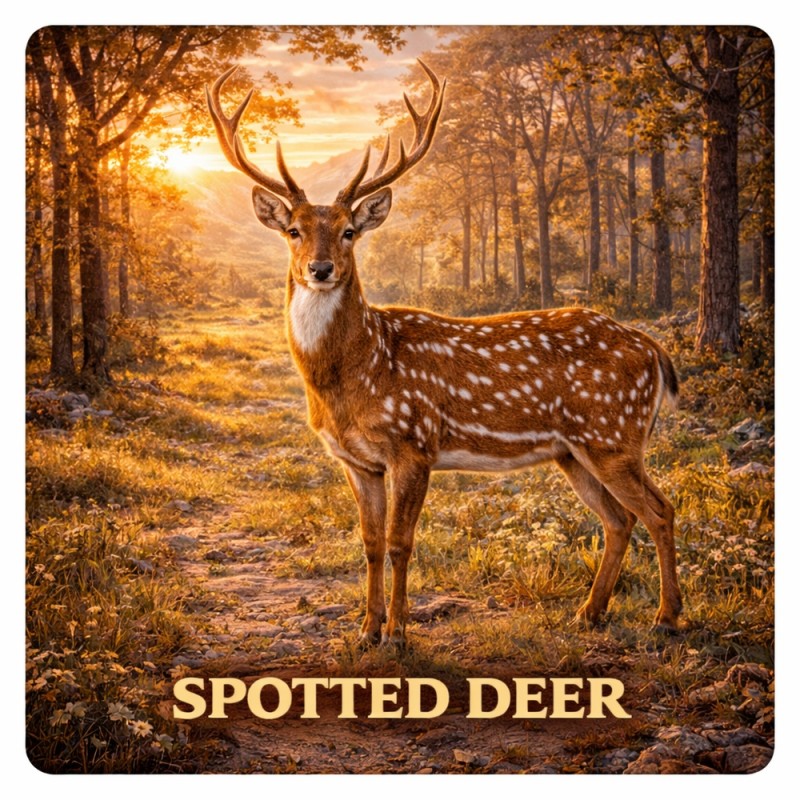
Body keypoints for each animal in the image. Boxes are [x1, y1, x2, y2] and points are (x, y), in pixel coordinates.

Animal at [207, 61, 682, 647]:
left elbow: (399, 544)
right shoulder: (356, 461)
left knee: (660, 510)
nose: (320, 269)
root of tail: (655, 350)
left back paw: (666, 617)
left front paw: (398, 632)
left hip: (615, 433)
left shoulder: (414, 443)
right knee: (619, 519)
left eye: (348, 231)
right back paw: (588, 613)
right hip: (574, 451)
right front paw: (366, 631)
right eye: (293, 231)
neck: (357, 373)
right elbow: (368, 544)